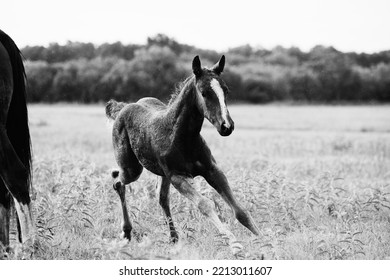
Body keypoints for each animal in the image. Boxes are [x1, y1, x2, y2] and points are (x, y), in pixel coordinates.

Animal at [106, 55, 258, 253]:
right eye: (204, 92)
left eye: (225, 90)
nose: (226, 126)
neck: (183, 136)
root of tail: (123, 107)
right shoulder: (177, 176)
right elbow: (205, 204)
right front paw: (235, 244)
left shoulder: (212, 170)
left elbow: (240, 210)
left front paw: (264, 239)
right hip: (133, 169)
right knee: (118, 181)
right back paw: (126, 232)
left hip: (161, 174)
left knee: (161, 198)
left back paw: (173, 237)